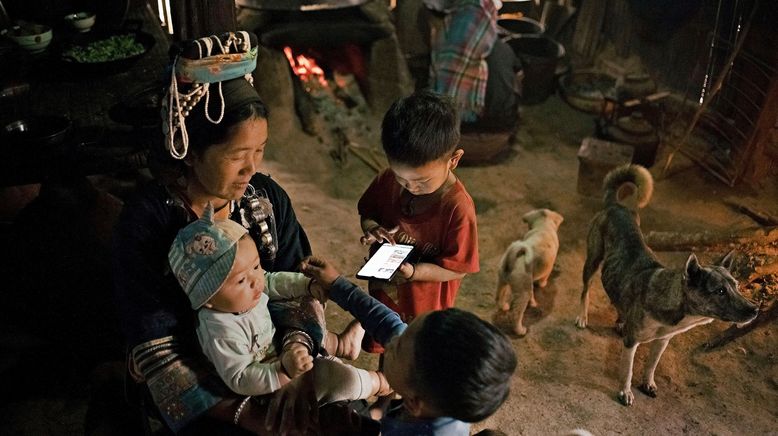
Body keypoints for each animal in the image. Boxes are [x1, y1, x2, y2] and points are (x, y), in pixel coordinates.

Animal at [494, 208, 560, 338]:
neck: (543, 226)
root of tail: (513, 256)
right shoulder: (547, 270)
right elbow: (543, 279)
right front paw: (542, 285)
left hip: (502, 279)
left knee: (499, 295)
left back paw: (504, 306)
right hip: (523, 292)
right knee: (516, 314)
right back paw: (520, 330)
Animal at [572, 164, 756, 406]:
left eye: (737, 286)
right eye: (720, 291)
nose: (755, 309)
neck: (675, 307)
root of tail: (616, 205)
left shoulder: (663, 341)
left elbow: (651, 365)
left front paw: (648, 384)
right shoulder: (632, 342)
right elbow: (628, 369)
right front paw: (625, 392)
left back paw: (621, 320)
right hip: (592, 260)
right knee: (586, 290)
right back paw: (582, 317)